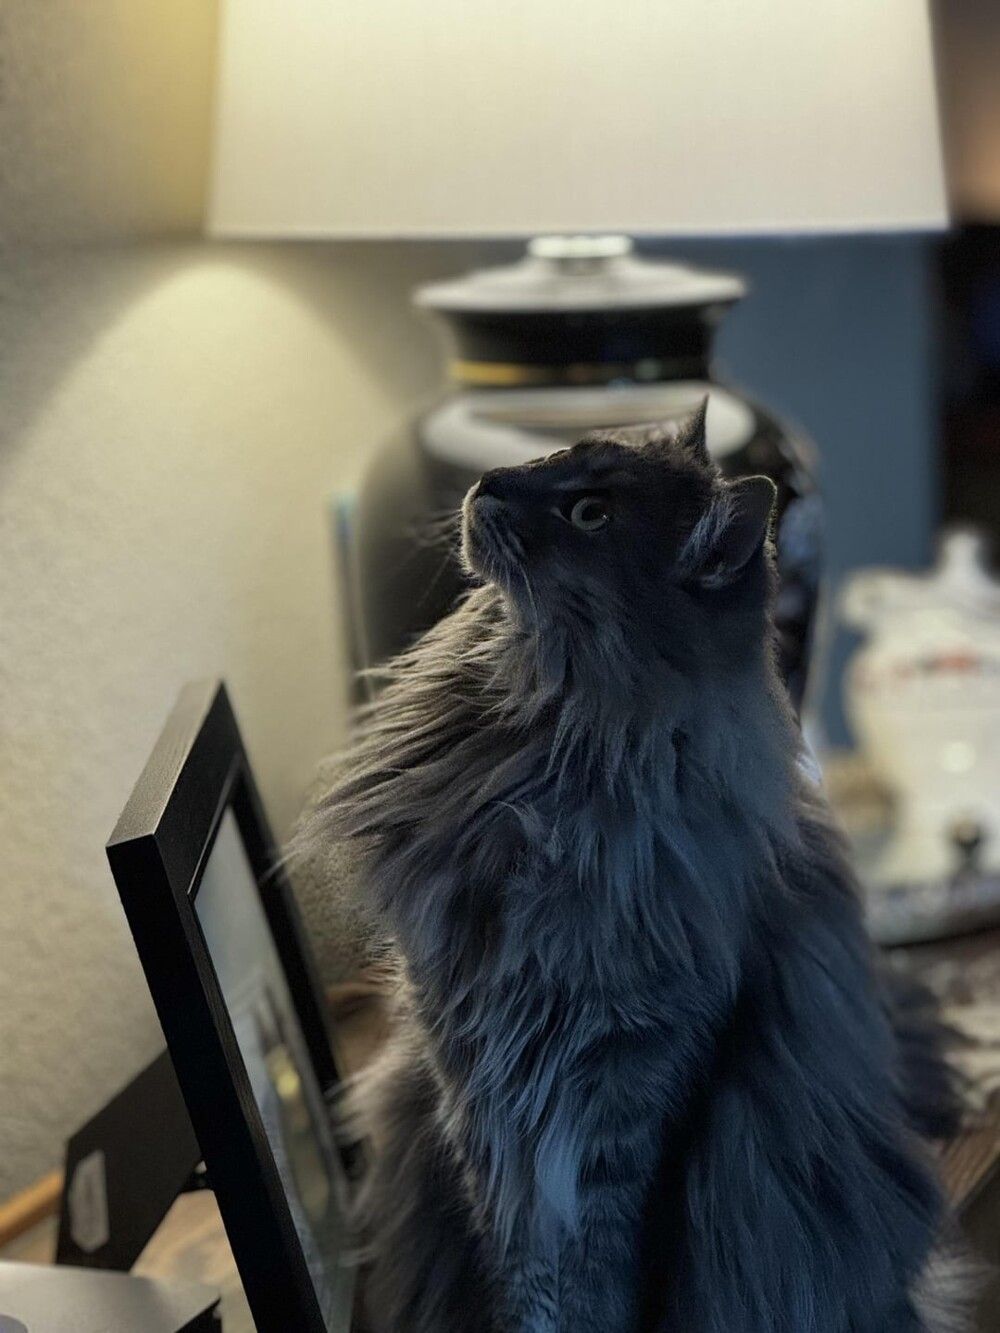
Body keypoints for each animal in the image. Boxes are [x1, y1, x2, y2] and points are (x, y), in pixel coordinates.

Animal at [302, 403, 967, 1332]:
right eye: (553, 452)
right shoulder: (474, 1082)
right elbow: (518, 1262)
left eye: (591, 514)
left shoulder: (635, 1095)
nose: (487, 482)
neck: (541, 774)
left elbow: (597, 1272)